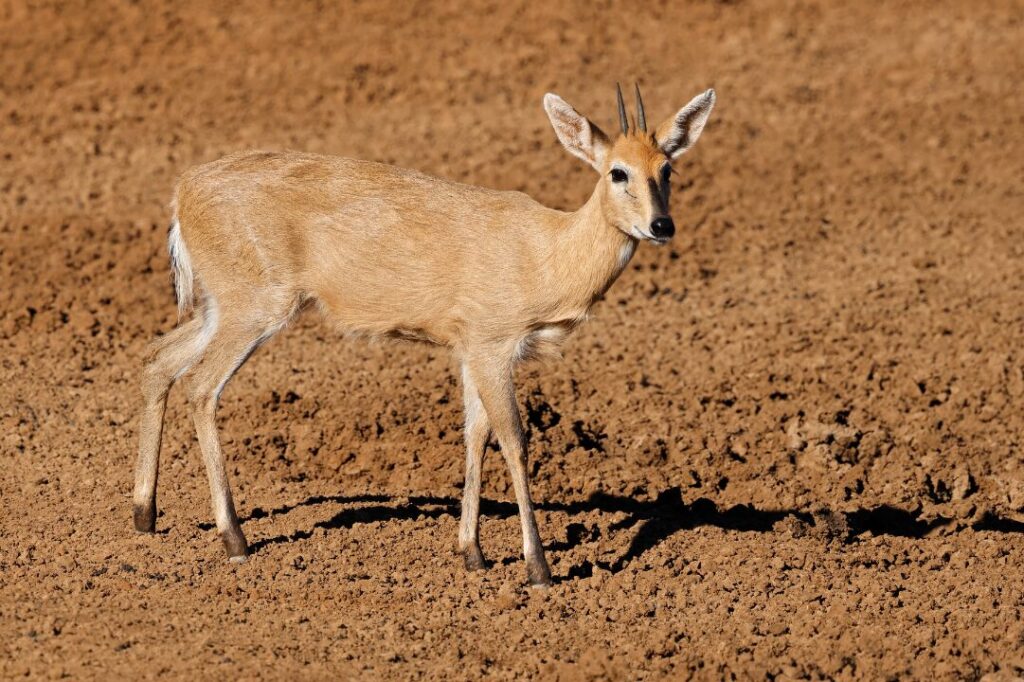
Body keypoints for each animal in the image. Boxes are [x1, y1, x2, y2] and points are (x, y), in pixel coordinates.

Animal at [133, 84, 716, 586]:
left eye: (668, 168)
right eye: (617, 172)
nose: (661, 226)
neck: (546, 256)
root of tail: (183, 193)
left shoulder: (467, 349)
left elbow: (475, 435)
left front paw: (472, 553)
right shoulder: (493, 344)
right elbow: (515, 439)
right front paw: (539, 569)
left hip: (221, 305)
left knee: (158, 359)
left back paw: (145, 514)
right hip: (255, 306)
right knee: (201, 387)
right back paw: (234, 539)